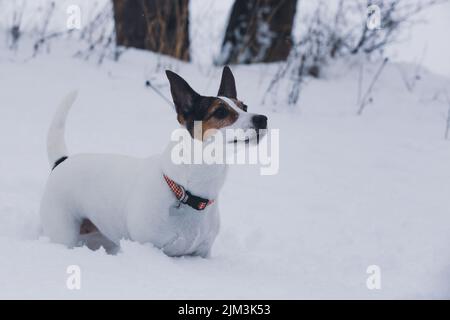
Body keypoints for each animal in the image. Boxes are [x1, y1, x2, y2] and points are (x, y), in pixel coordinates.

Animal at [39, 67, 268, 258]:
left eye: (244, 106)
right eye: (220, 111)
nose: (262, 119)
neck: (187, 191)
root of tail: (63, 161)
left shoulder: (201, 253)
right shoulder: (148, 247)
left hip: (102, 236)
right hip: (62, 231)